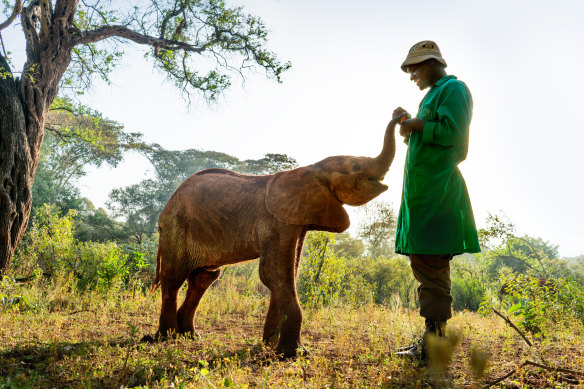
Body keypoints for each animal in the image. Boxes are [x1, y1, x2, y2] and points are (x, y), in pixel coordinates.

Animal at [148, 116, 402, 358]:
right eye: (356, 165)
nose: (400, 114)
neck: (313, 169)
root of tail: (167, 206)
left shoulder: (296, 222)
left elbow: (288, 273)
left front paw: (269, 345)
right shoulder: (275, 221)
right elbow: (274, 273)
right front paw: (293, 353)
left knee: (204, 277)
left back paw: (190, 335)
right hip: (176, 227)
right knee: (174, 277)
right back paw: (166, 337)